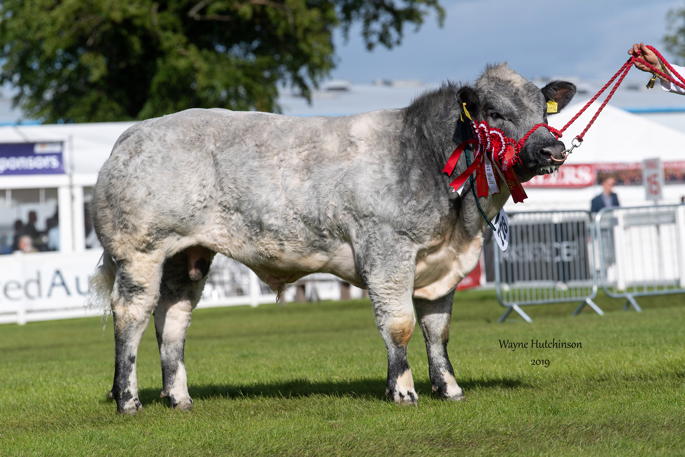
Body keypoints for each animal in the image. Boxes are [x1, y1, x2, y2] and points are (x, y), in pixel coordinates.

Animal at [91, 64, 572, 414]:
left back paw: (179, 398)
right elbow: (399, 324)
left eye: (544, 111)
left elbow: (438, 329)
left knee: (172, 319)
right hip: (141, 252)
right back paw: (128, 400)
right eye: (495, 113)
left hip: (186, 255)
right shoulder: (388, 252)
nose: (553, 150)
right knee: (131, 316)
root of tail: (132, 134)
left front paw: (449, 388)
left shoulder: (442, 263)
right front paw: (403, 391)